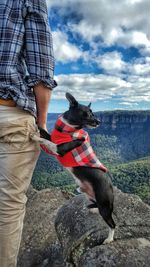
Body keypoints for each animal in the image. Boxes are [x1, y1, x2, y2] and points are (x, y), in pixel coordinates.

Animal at [32, 92, 115, 245]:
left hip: (104, 203)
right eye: (87, 113)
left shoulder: (59, 148)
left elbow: (43, 140)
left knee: (112, 224)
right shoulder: (54, 139)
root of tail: (111, 187)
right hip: (89, 195)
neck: (67, 129)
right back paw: (94, 210)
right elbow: (43, 132)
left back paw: (109, 238)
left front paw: (34, 136)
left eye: (92, 112)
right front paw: (35, 122)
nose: (99, 122)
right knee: (96, 205)